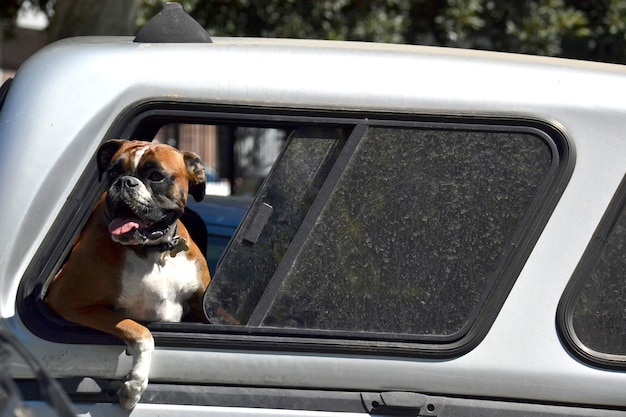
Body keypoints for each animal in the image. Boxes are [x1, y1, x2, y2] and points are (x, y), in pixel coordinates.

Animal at [45, 140, 212, 410]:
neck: (154, 254)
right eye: (113, 172)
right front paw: (135, 384)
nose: (125, 182)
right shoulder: (68, 302)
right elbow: (141, 331)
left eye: (156, 176)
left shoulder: (200, 304)